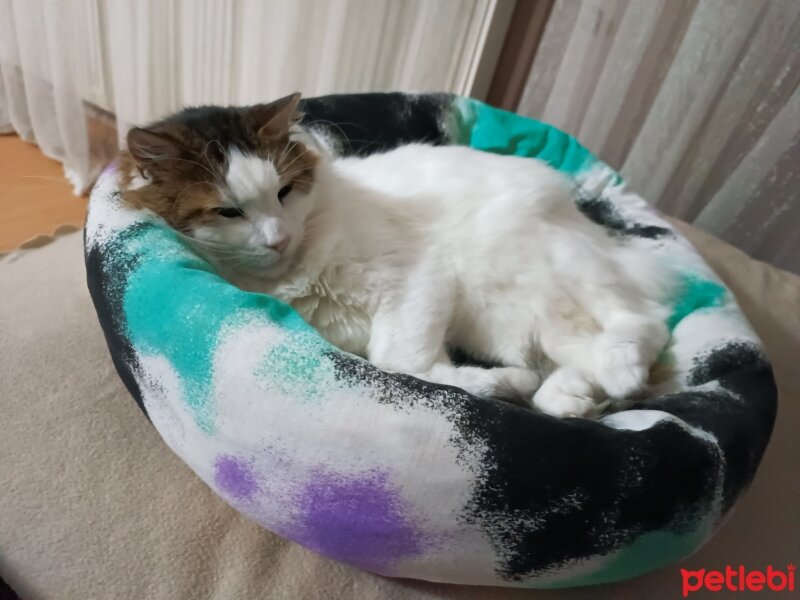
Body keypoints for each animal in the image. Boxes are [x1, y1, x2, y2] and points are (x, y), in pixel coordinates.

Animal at [119, 92, 672, 418]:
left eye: (284, 193)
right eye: (229, 212)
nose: (277, 239)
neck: (296, 273)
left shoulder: (419, 278)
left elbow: (400, 360)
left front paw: (493, 386)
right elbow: (415, 370)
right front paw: (496, 386)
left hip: (556, 268)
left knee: (646, 323)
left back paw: (617, 370)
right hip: (518, 321)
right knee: (579, 356)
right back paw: (568, 395)